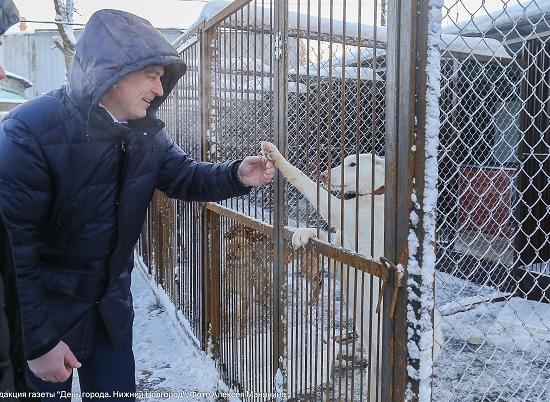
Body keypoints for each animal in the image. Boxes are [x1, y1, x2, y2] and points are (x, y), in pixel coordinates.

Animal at [260, 141, 446, 398]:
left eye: (353, 164)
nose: (324, 174)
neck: (372, 195)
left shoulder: (345, 216)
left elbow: (310, 187)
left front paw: (275, 154)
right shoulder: (343, 259)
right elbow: (324, 238)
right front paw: (302, 234)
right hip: (374, 372)